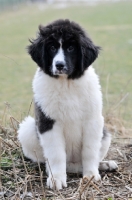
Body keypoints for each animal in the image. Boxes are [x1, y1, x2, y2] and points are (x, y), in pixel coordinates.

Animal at [17, 19, 117, 190]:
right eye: (51, 47)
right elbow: (56, 154)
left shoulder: (93, 120)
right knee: (51, 161)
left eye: (71, 48)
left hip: (105, 133)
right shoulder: (48, 122)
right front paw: (56, 178)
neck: (66, 84)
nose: (59, 65)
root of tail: (73, 165)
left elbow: (90, 151)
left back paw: (104, 164)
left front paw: (90, 175)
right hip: (27, 129)